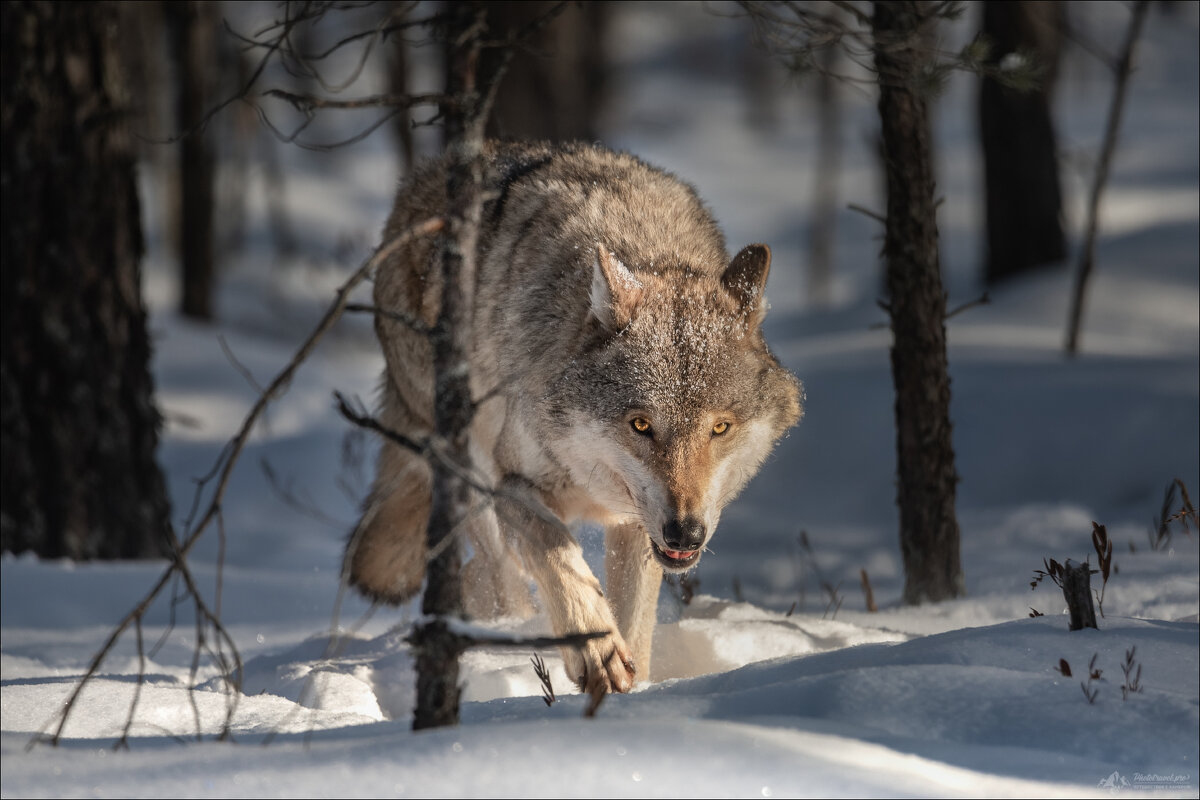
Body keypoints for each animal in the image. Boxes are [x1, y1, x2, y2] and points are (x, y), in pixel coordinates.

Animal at [343, 142, 801, 695]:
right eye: (641, 425)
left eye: (719, 428)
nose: (685, 535)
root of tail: (421, 179)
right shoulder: (511, 484)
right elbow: (556, 552)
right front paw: (595, 650)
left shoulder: (637, 526)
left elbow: (635, 620)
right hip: (468, 475)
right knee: (501, 577)